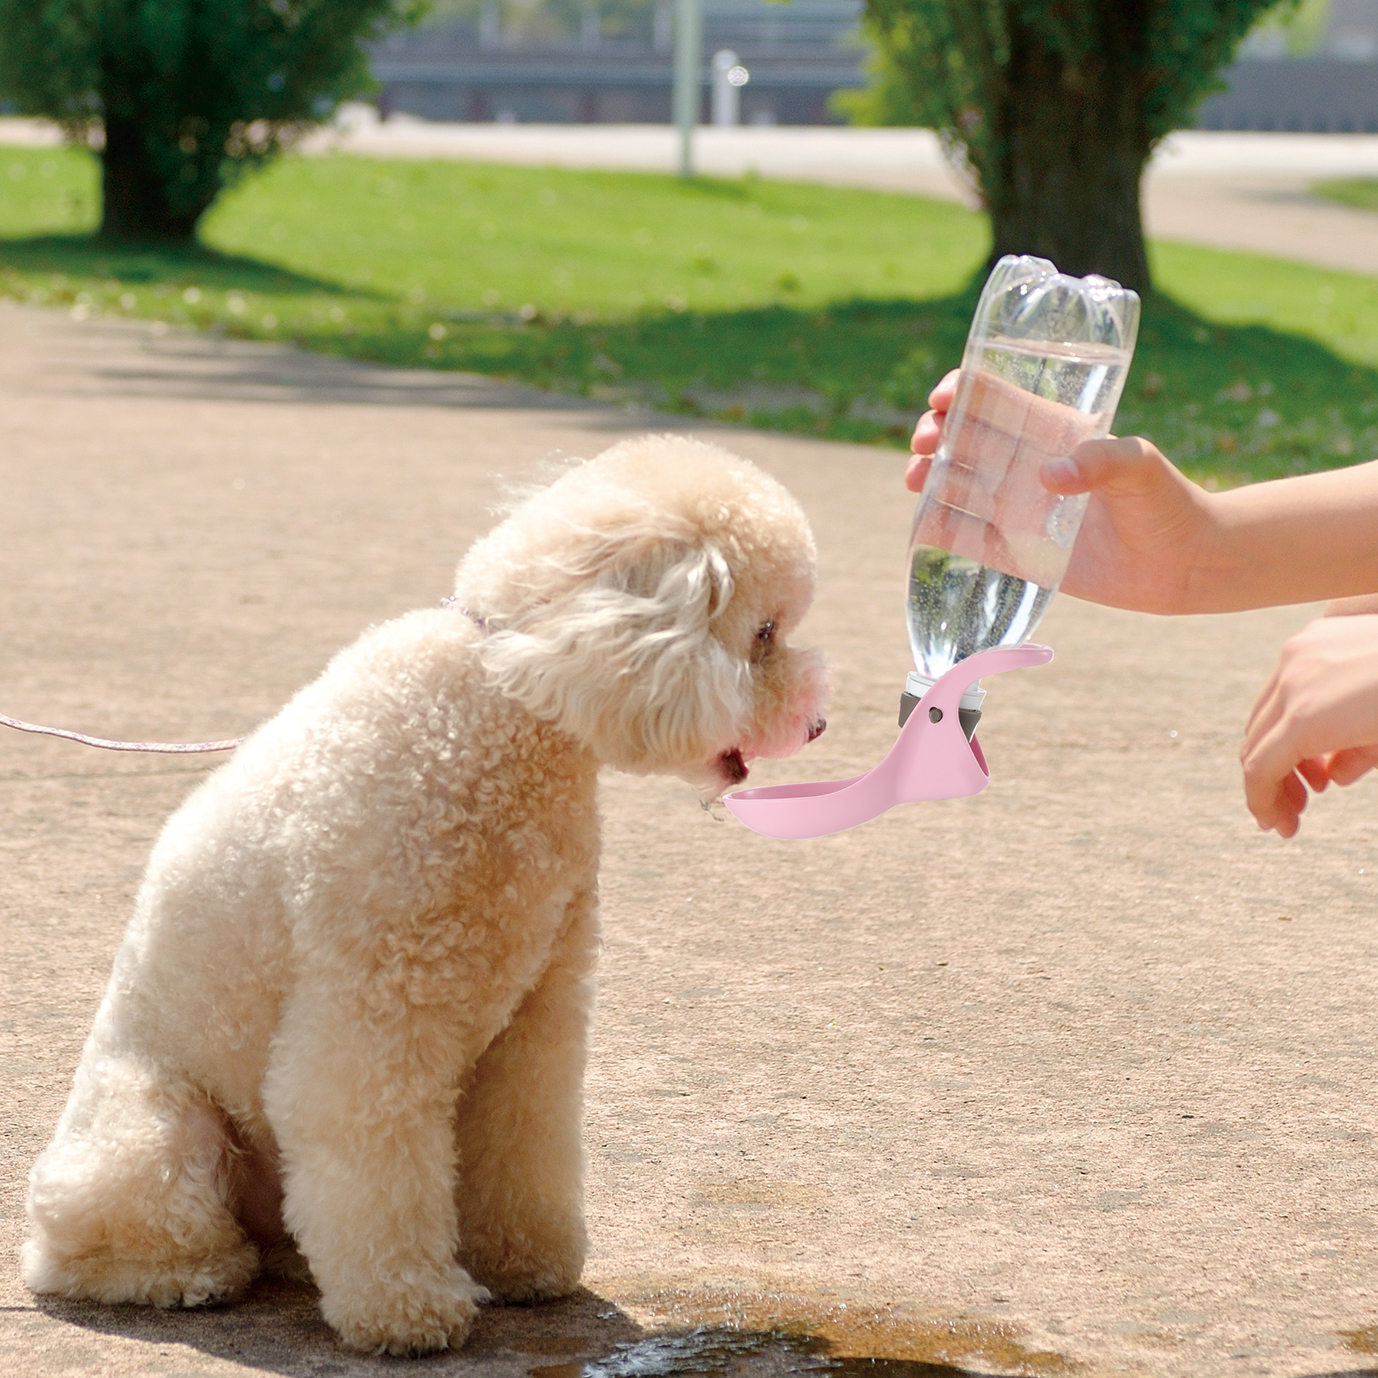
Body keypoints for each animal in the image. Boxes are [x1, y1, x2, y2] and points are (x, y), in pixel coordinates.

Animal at [21, 438, 826, 1355]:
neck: (509, 700)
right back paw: (192, 1275)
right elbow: (374, 1155)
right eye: (763, 632)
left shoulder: (535, 1019)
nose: (816, 724)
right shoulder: (374, 1017)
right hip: (154, 1131)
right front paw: (408, 1311)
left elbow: (522, 1139)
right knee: (92, 1244)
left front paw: (524, 1267)